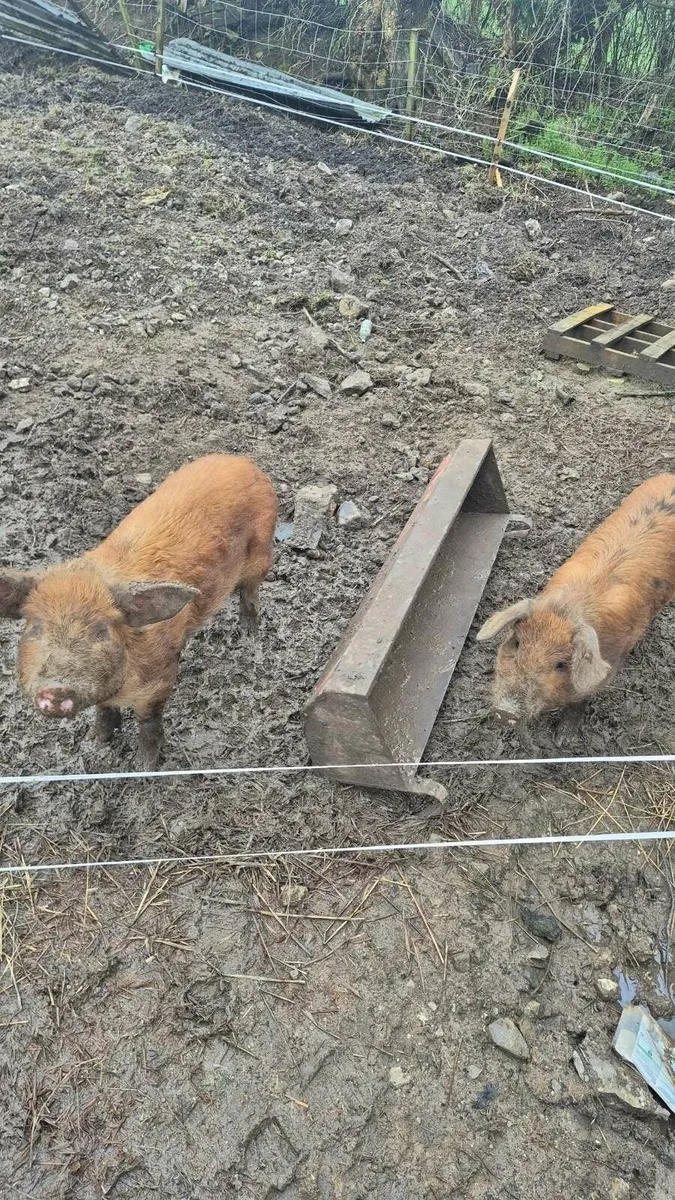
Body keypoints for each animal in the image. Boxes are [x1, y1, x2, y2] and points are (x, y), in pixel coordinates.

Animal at [0, 455, 277, 767]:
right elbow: (104, 710)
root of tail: (243, 461)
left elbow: (149, 723)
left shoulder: (159, 681)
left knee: (250, 593)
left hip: (262, 551)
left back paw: (249, 637)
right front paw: (93, 744)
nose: (56, 688)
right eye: (35, 627)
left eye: (100, 630)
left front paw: (143, 766)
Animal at [476, 474, 675, 726]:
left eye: (561, 665)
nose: (506, 712)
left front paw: (564, 733)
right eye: (517, 643)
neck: (569, 608)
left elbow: (577, 705)